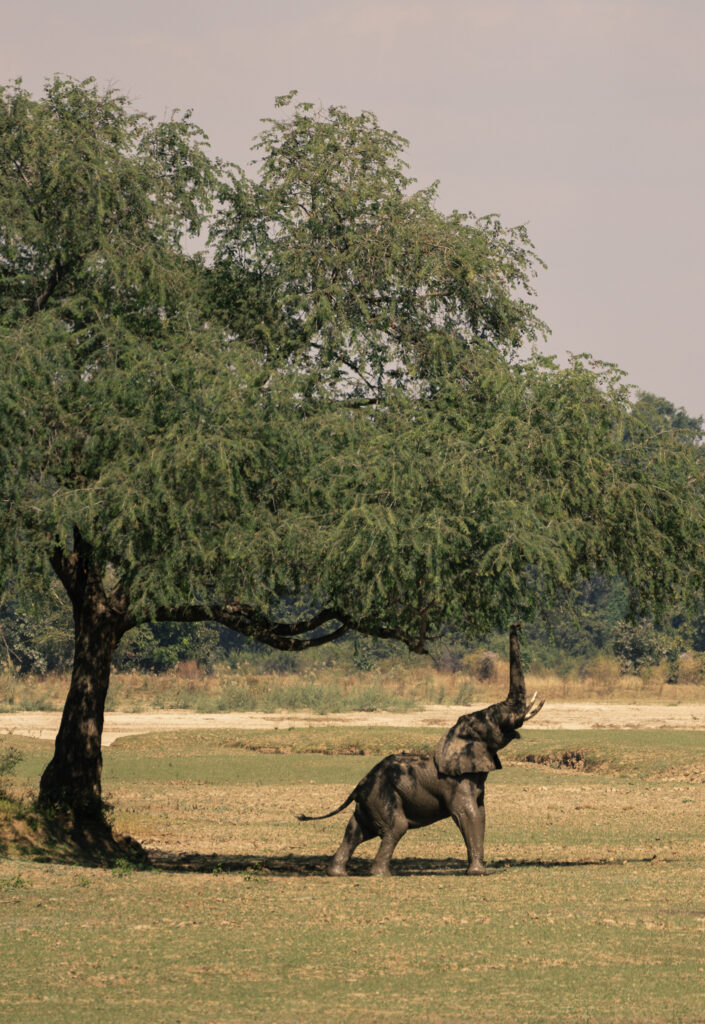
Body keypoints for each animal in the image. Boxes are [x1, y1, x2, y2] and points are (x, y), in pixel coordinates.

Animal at [298, 624, 543, 876]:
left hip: (371, 799)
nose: (515, 625)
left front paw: (480, 870)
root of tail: (358, 786)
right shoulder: (454, 783)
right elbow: (467, 814)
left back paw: (338, 873)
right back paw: (382, 875)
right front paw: (479, 874)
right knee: (394, 827)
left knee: (355, 831)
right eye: (493, 717)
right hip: (382, 795)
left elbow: (481, 815)